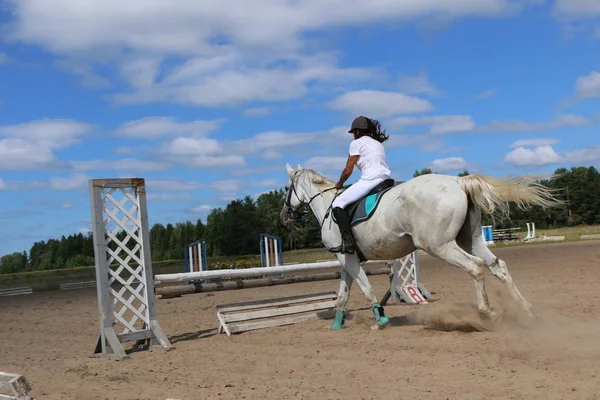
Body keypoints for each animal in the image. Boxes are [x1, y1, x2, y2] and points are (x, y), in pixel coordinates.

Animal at [282, 164, 564, 330]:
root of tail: (458, 182)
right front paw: (337, 324)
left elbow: (366, 288)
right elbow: (343, 293)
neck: (328, 206)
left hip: (439, 245)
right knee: (498, 267)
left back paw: (487, 312)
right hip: (470, 240)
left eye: (286, 188)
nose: (285, 217)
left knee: (475, 267)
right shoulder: (346, 260)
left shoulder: (348, 260)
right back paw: (527, 312)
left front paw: (380, 320)